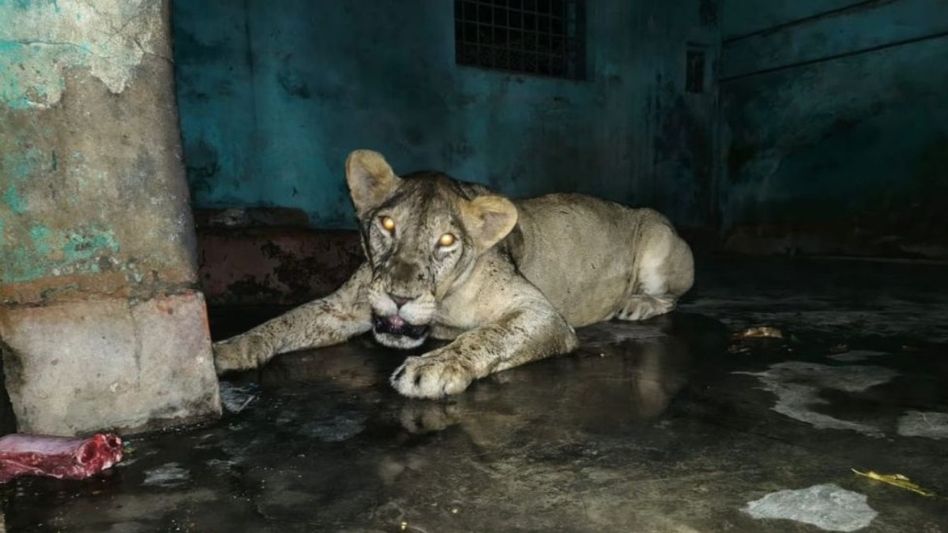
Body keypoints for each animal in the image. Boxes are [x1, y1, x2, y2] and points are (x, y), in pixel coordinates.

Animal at [213, 150, 694, 399]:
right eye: (387, 224)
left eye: (446, 240)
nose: (400, 298)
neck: (442, 303)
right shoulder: (342, 307)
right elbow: (283, 321)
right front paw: (227, 349)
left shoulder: (542, 313)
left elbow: (485, 336)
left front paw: (433, 367)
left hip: (657, 240)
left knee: (672, 296)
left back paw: (636, 305)